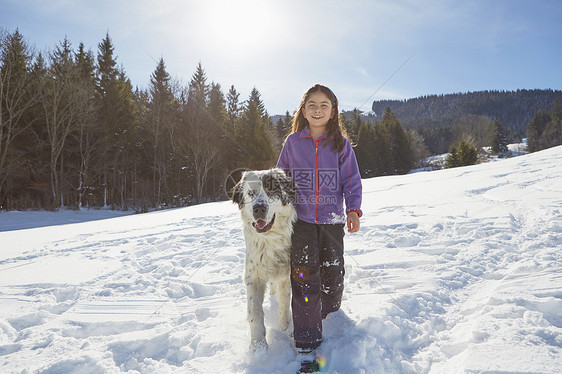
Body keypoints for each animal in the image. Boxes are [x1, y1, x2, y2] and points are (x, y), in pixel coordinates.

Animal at [231, 168, 298, 350]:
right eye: (250, 193)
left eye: (271, 190)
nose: (259, 208)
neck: (269, 240)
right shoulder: (253, 277)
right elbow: (255, 312)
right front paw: (258, 346)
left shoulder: (285, 275)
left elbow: (284, 303)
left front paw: (284, 328)